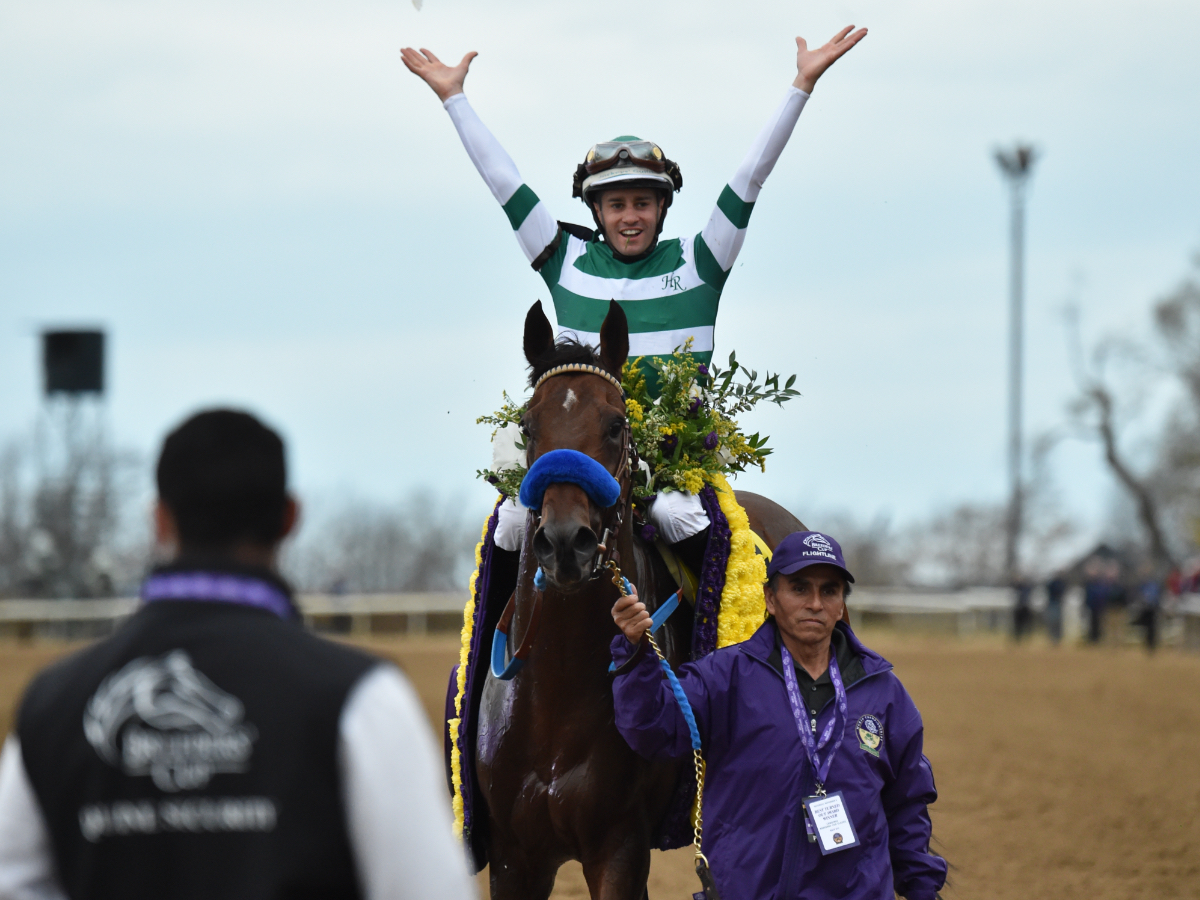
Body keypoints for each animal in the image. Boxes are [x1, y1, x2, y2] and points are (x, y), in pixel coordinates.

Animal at [477, 300, 806, 897]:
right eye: (528, 427)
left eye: (615, 424)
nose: (566, 541)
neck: (557, 690)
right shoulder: (514, 858)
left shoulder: (620, 847)